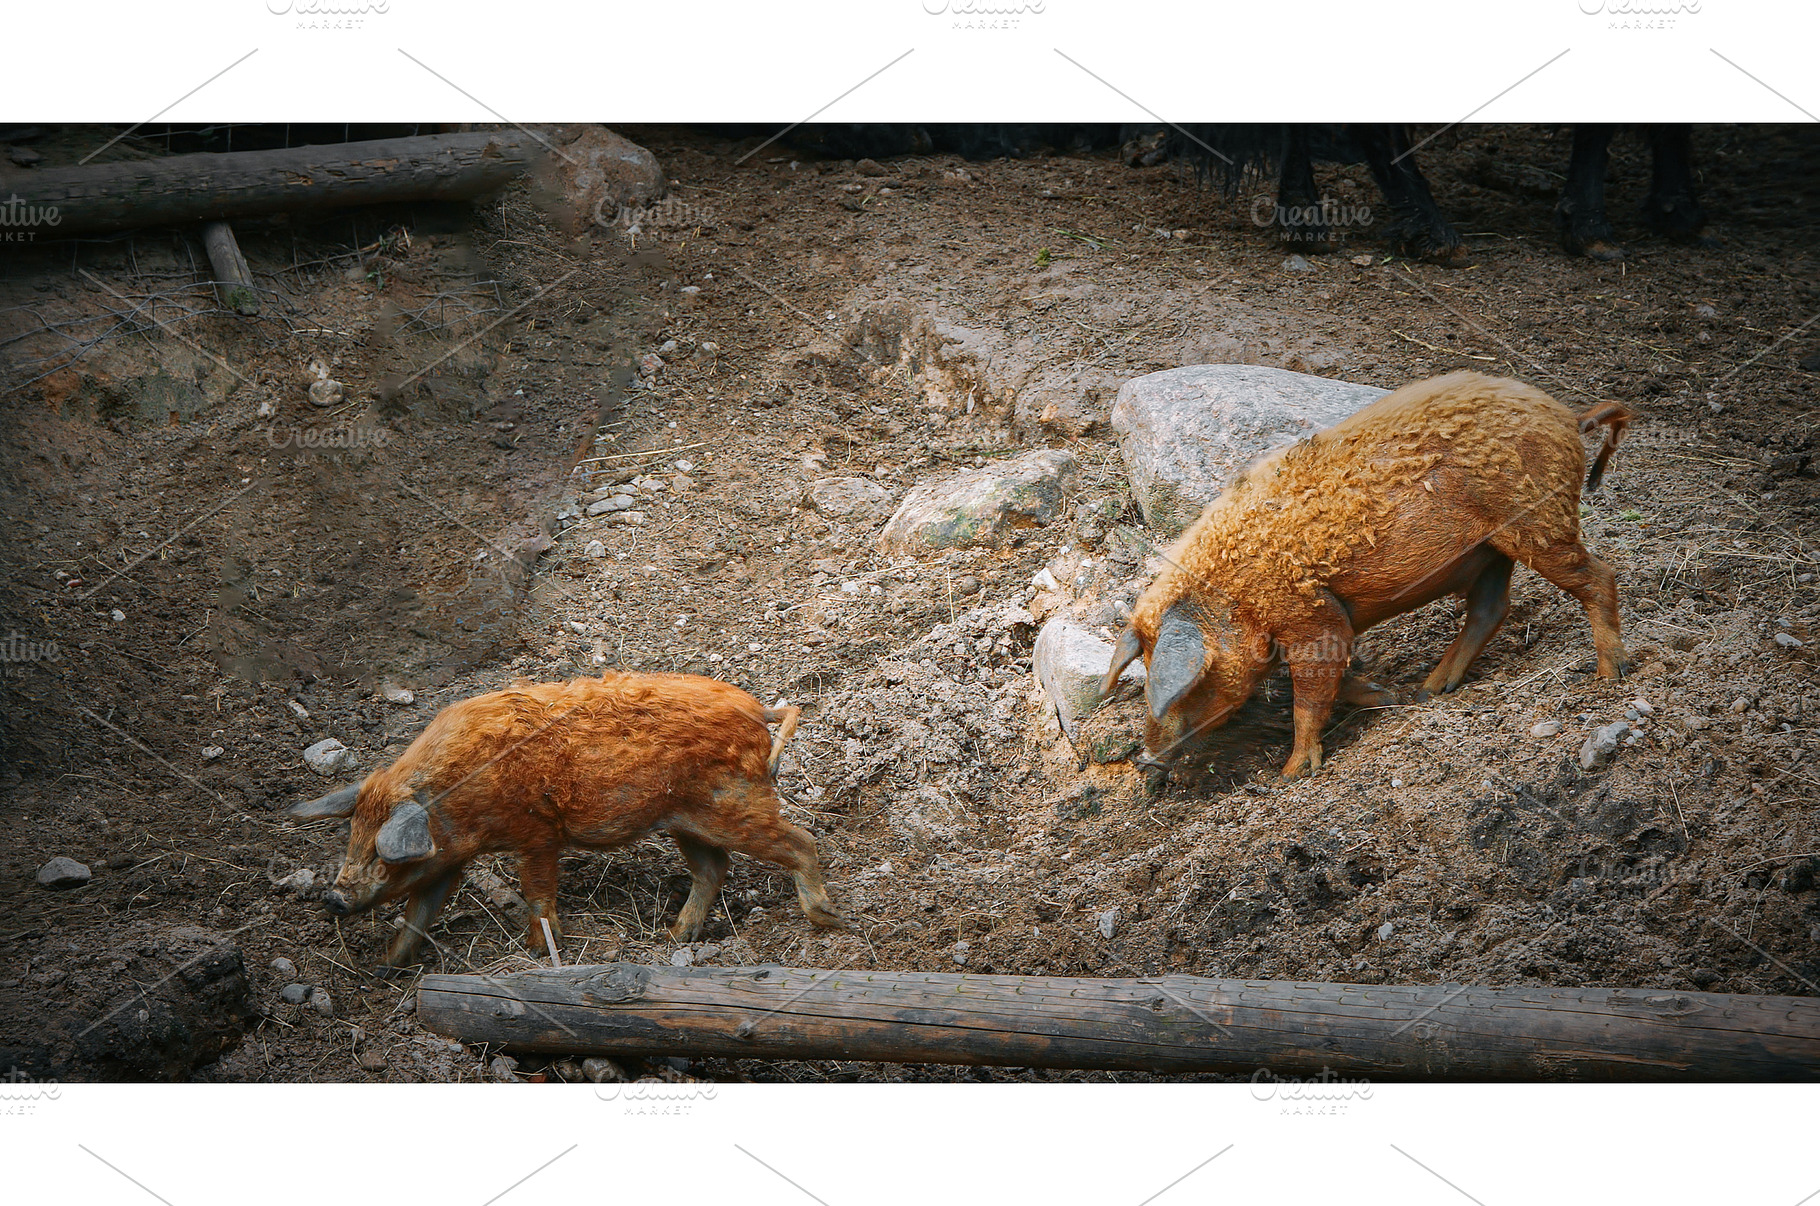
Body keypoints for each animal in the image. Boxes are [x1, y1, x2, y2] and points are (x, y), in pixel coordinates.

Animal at [286, 673, 843, 966]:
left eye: (382, 853)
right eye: (353, 837)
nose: (333, 898)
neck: (458, 796)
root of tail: (759, 711)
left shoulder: (536, 833)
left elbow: (538, 893)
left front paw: (537, 953)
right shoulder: (447, 858)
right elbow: (419, 912)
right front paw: (386, 967)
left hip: (735, 806)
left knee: (801, 839)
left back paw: (827, 919)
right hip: (686, 821)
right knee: (714, 868)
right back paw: (671, 938)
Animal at [1102, 371, 1635, 780]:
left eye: (1194, 684)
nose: (1146, 761)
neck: (1234, 598)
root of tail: (1569, 417)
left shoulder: (1314, 619)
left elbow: (1310, 696)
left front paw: (1291, 774)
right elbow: (1336, 679)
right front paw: (1388, 695)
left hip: (1538, 524)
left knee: (1598, 577)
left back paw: (1610, 674)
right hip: (1492, 551)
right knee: (1491, 610)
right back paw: (1428, 690)